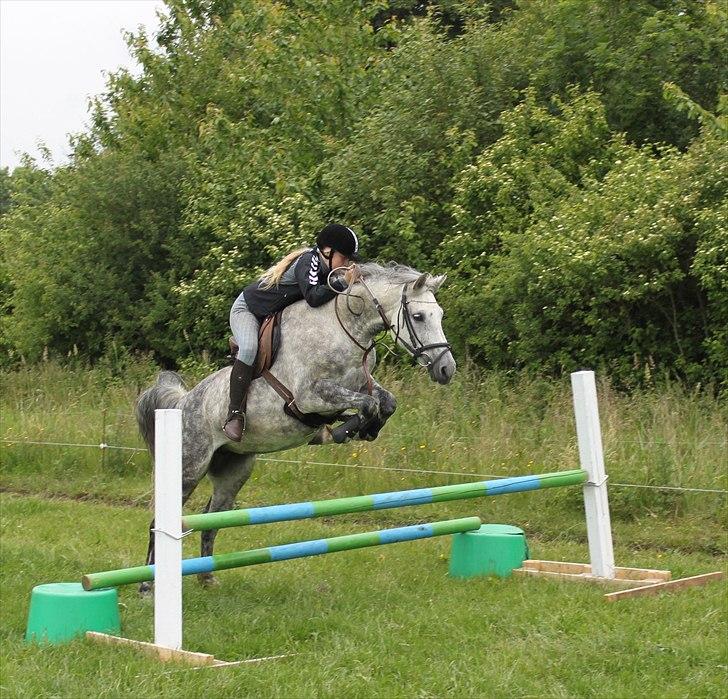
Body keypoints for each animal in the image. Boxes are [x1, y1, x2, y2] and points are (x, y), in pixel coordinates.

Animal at [135, 262, 456, 592]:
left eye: (440, 314)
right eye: (418, 316)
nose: (447, 369)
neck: (345, 331)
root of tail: (183, 402)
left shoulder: (360, 384)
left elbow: (385, 402)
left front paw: (364, 429)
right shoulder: (310, 396)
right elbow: (366, 404)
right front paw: (341, 430)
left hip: (234, 472)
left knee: (210, 519)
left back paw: (207, 577)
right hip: (189, 468)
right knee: (160, 521)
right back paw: (146, 586)